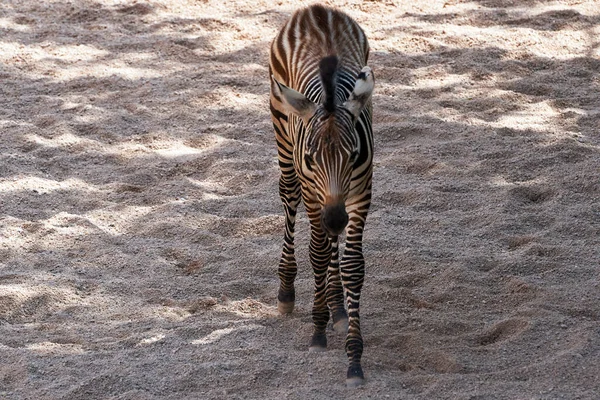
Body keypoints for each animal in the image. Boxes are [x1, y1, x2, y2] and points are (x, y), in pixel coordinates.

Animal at [268, 3, 372, 386]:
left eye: (354, 155)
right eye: (312, 159)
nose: (336, 217)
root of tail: (317, 10)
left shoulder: (360, 193)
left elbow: (352, 264)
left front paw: (354, 359)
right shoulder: (316, 195)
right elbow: (317, 252)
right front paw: (317, 330)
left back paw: (337, 305)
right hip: (280, 121)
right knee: (289, 196)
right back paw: (288, 289)